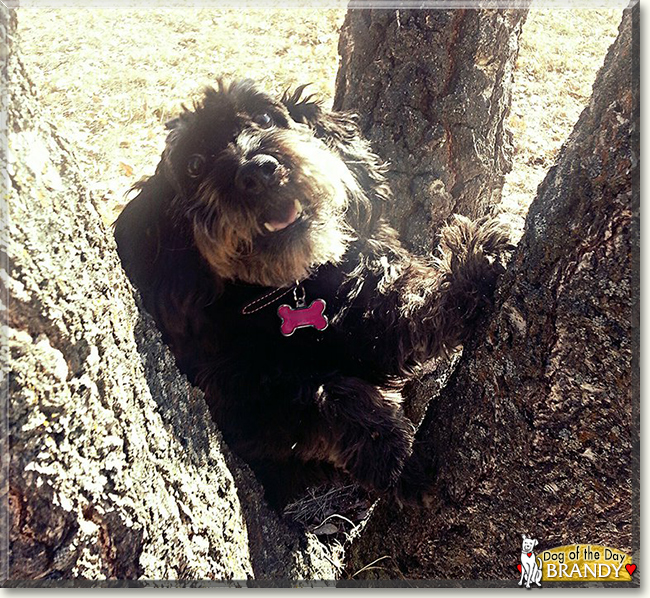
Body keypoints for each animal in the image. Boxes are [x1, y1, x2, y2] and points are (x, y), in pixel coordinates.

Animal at [112, 79, 506, 510]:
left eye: (265, 117)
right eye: (195, 165)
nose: (258, 171)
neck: (286, 288)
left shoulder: (365, 310)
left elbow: (405, 303)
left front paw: (472, 262)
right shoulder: (234, 401)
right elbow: (322, 393)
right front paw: (394, 457)